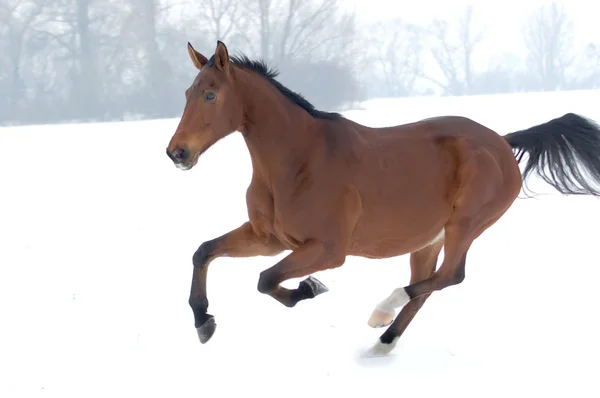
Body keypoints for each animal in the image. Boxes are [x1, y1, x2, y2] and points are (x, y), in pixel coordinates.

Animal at [166, 38, 600, 352]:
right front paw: (203, 322)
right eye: (186, 93)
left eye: (210, 95)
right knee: (429, 283)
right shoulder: (269, 238)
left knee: (450, 276)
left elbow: (265, 279)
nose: (177, 153)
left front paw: (309, 288)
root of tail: (503, 143)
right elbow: (204, 251)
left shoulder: (327, 249)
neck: (297, 161)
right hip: (427, 240)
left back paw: (380, 313)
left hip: (465, 225)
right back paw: (383, 342)